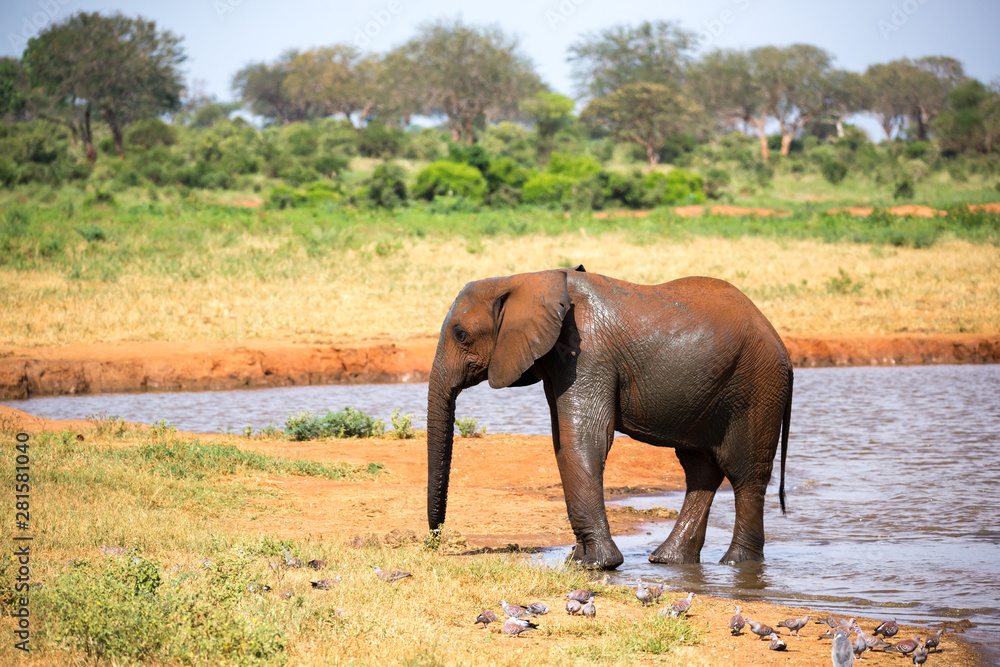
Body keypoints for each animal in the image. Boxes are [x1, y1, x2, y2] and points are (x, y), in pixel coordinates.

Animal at [426, 266, 793, 569]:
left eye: (460, 334)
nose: (435, 542)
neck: (525, 279)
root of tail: (780, 343)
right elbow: (563, 443)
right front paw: (577, 561)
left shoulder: (588, 353)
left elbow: (585, 440)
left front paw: (597, 565)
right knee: (701, 468)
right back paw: (668, 560)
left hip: (757, 385)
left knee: (744, 472)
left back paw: (737, 564)